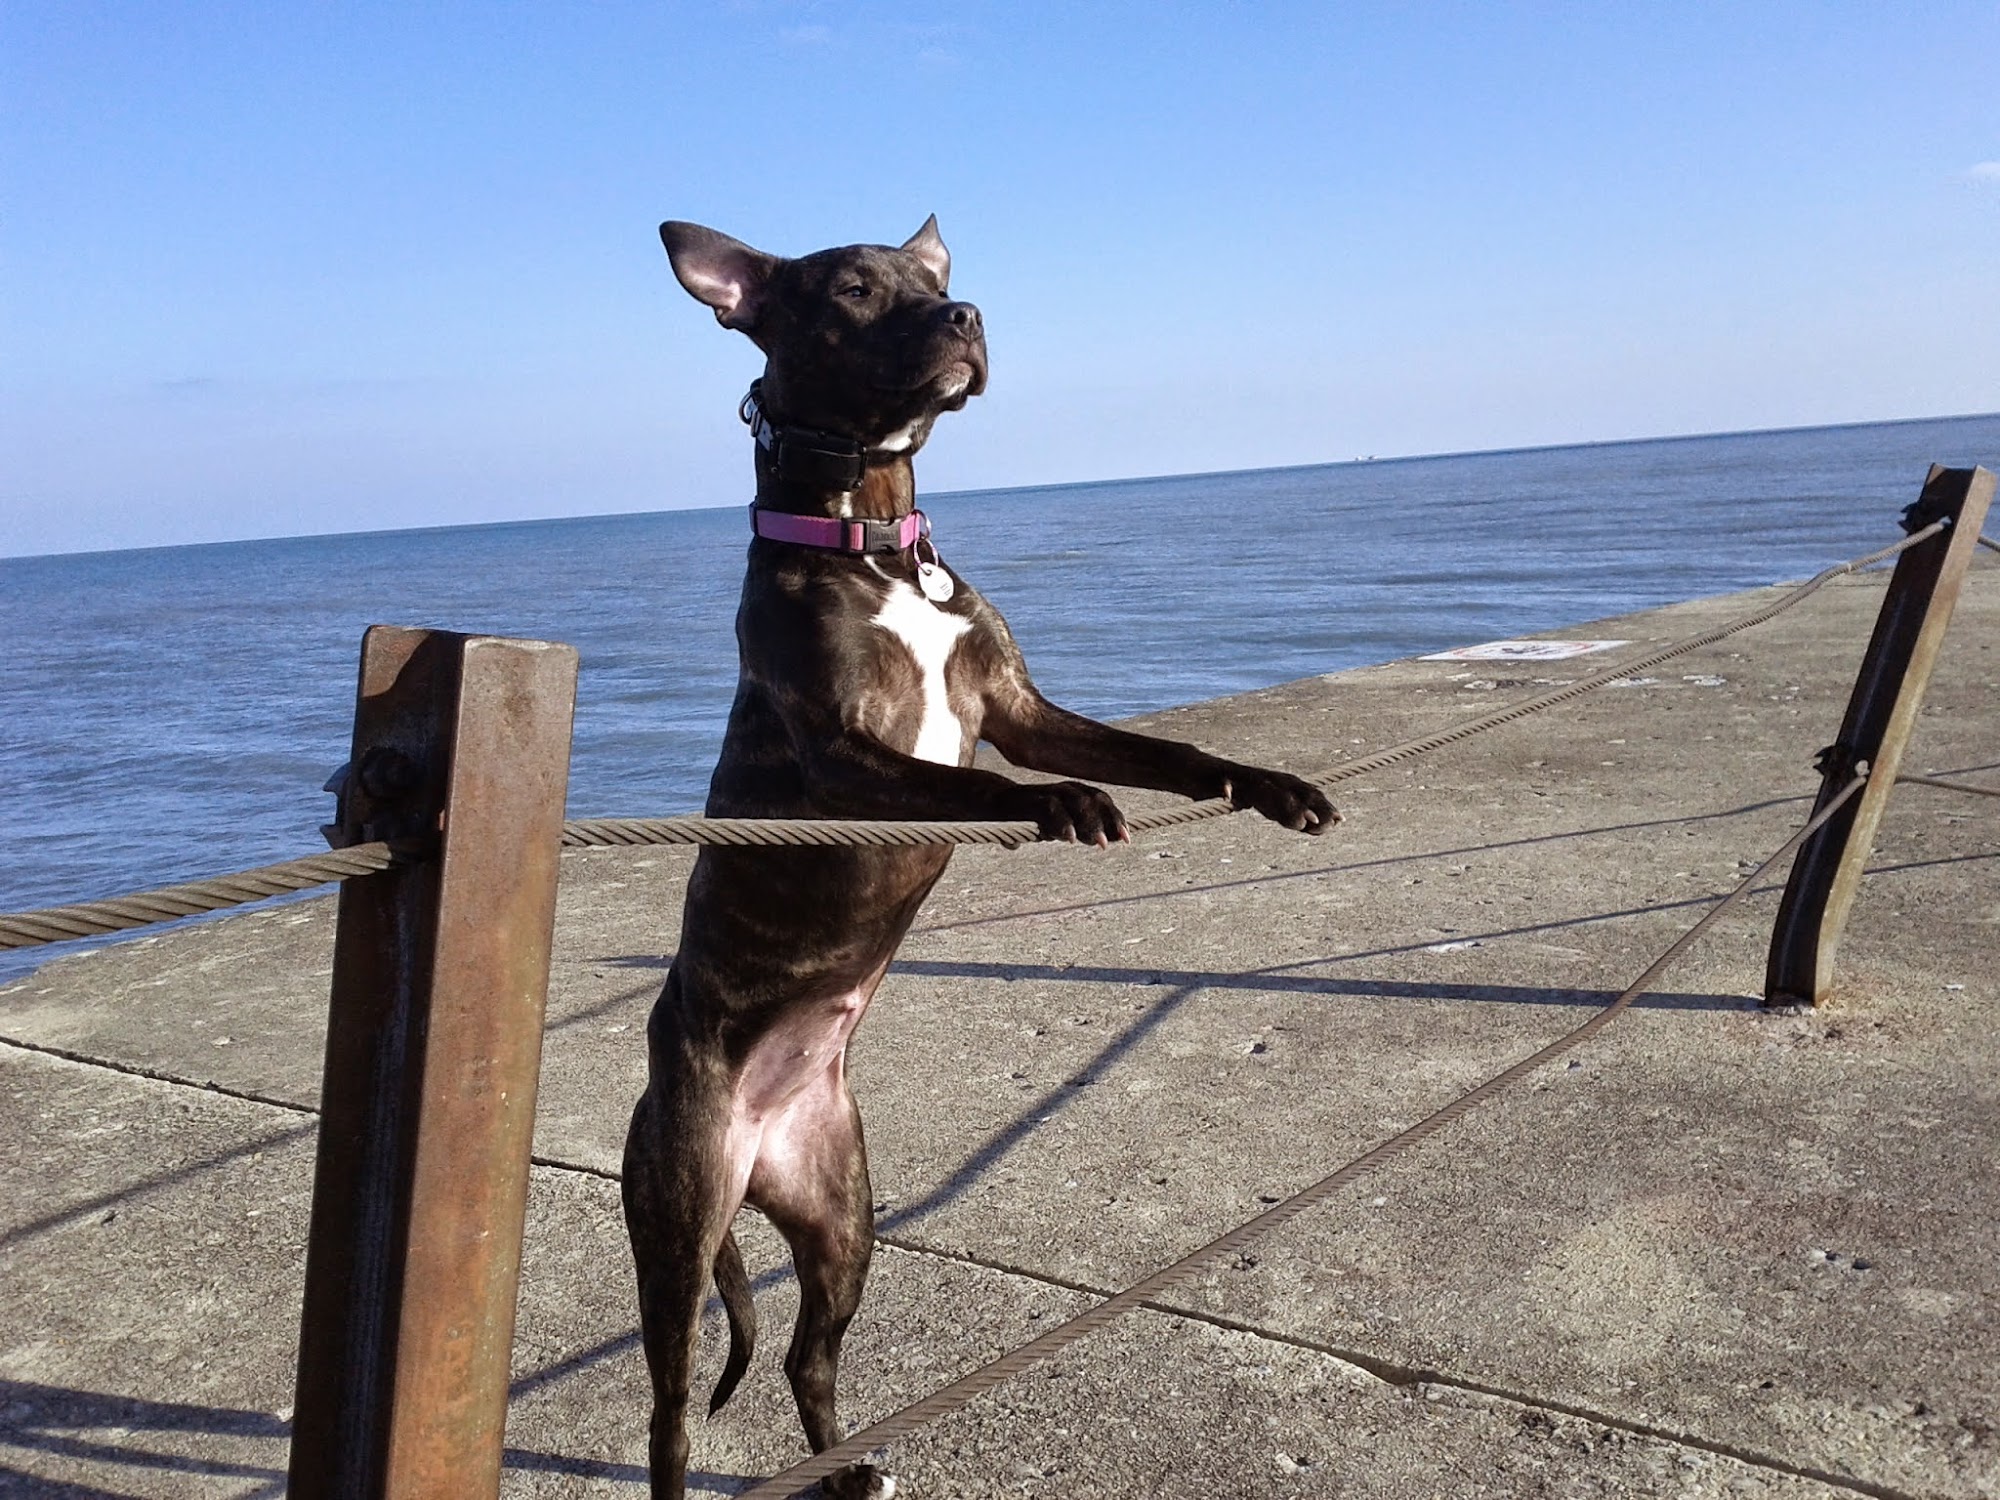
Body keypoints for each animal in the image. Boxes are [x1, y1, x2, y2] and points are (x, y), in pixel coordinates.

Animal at [623, 216, 1337, 1499]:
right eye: (854, 288)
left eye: (932, 281)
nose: (965, 318)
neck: (872, 536)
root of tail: (757, 1138)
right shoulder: (847, 758)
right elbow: (977, 784)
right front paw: (1062, 804)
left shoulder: (1017, 704)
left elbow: (1164, 750)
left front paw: (1265, 786)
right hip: (678, 1220)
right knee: (669, 1415)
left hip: (843, 1217)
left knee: (807, 1358)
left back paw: (849, 1469)